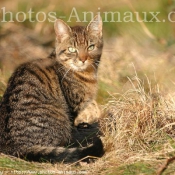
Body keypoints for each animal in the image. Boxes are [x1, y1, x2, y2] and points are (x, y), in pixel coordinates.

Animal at [0, 15, 104, 163]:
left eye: (91, 47)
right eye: (72, 49)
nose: (83, 59)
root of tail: (14, 146)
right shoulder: (72, 108)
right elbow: (72, 128)